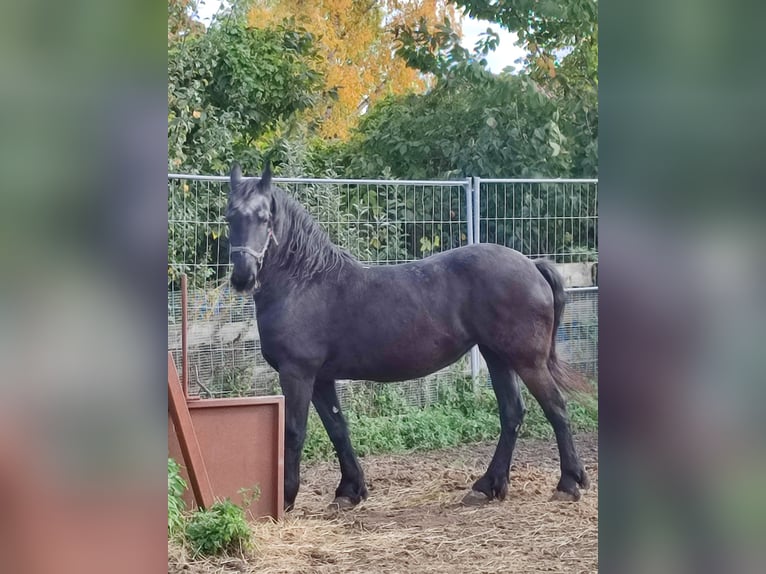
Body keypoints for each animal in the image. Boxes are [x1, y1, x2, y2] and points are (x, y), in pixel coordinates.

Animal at [225, 163, 592, 512]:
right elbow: (338, 428)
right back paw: (487, 486)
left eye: (264, 217)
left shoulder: (298, 373)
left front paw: (287, 499)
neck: (306, 282)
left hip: (527, 361)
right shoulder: (321, 379)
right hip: (496, 357)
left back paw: (568, 484)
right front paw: (350, 491)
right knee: (512, 413)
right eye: (229, 216)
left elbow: (294, 431)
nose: (242, 276)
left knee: (556, 409)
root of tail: (532, 265)